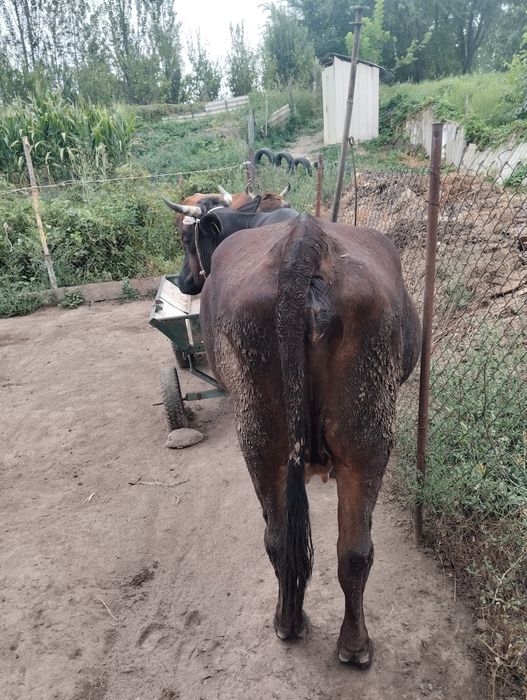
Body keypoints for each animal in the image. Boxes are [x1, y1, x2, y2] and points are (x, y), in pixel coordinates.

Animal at [200, 214, 421, 667]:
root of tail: (305, 242)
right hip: (367, 437)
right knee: (346, 548)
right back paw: (350, 643)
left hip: (264, 441)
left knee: (295, 541)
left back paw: (294, 624)